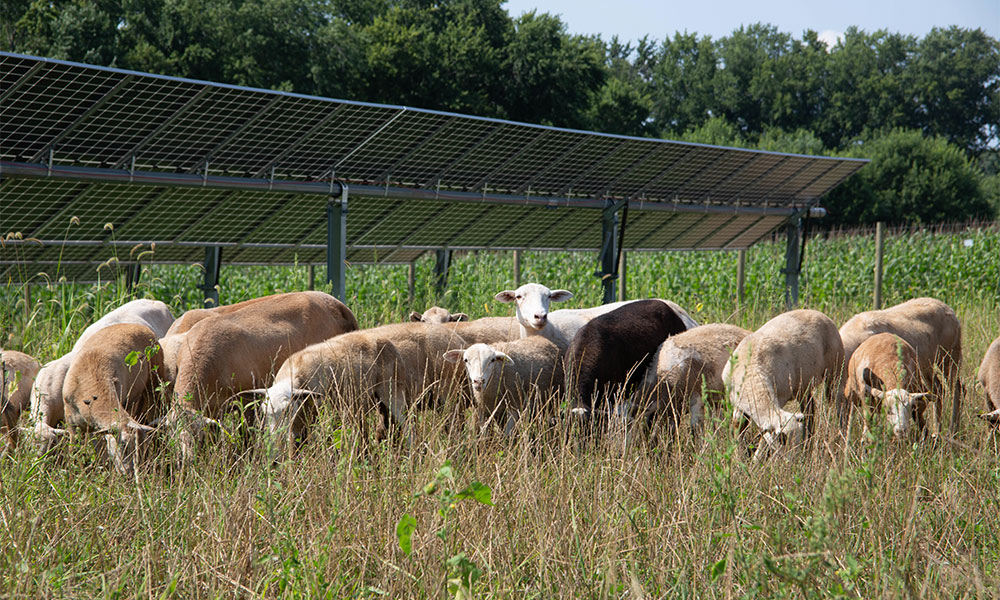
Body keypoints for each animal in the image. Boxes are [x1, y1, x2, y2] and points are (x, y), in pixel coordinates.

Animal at [724, 310, 848, 460]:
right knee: (810, 409)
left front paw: (756, 460)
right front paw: (738, 458)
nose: (793, 462)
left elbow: (764, 438)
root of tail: (819, 313)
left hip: (835, 369)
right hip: (803, 385)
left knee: (838, 404)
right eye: (782, 439)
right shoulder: (737, 405)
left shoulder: (779, 399)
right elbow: (738, 428)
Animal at [840, 298, 964, 432]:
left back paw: (953, 428)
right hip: (926, 365)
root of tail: (948, 308)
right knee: (938, 390)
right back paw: (937, 429)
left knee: (958, 388)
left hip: (950, 357)